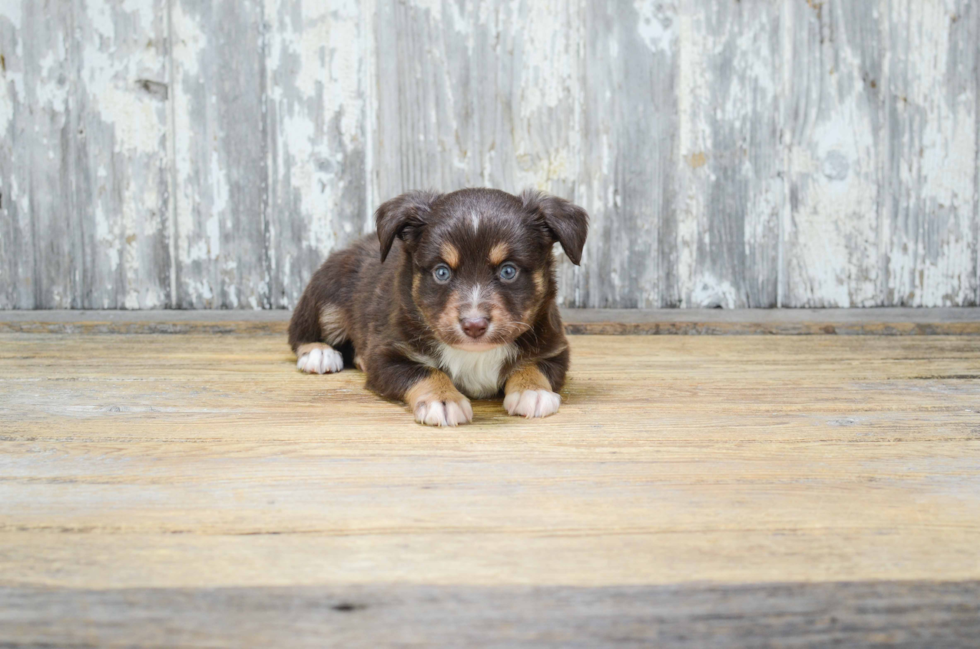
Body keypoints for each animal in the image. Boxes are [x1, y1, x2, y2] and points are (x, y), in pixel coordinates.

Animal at [288, 187, 584, 428]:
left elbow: (532, 366)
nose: (474, 325)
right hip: (326, 295)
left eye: (508, 271)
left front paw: (533, 392)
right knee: (300, 333)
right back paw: (319, 353)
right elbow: (426, 371)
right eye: (442, 272)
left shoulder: (555, 348)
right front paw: (443, 401)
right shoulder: (387, 354)